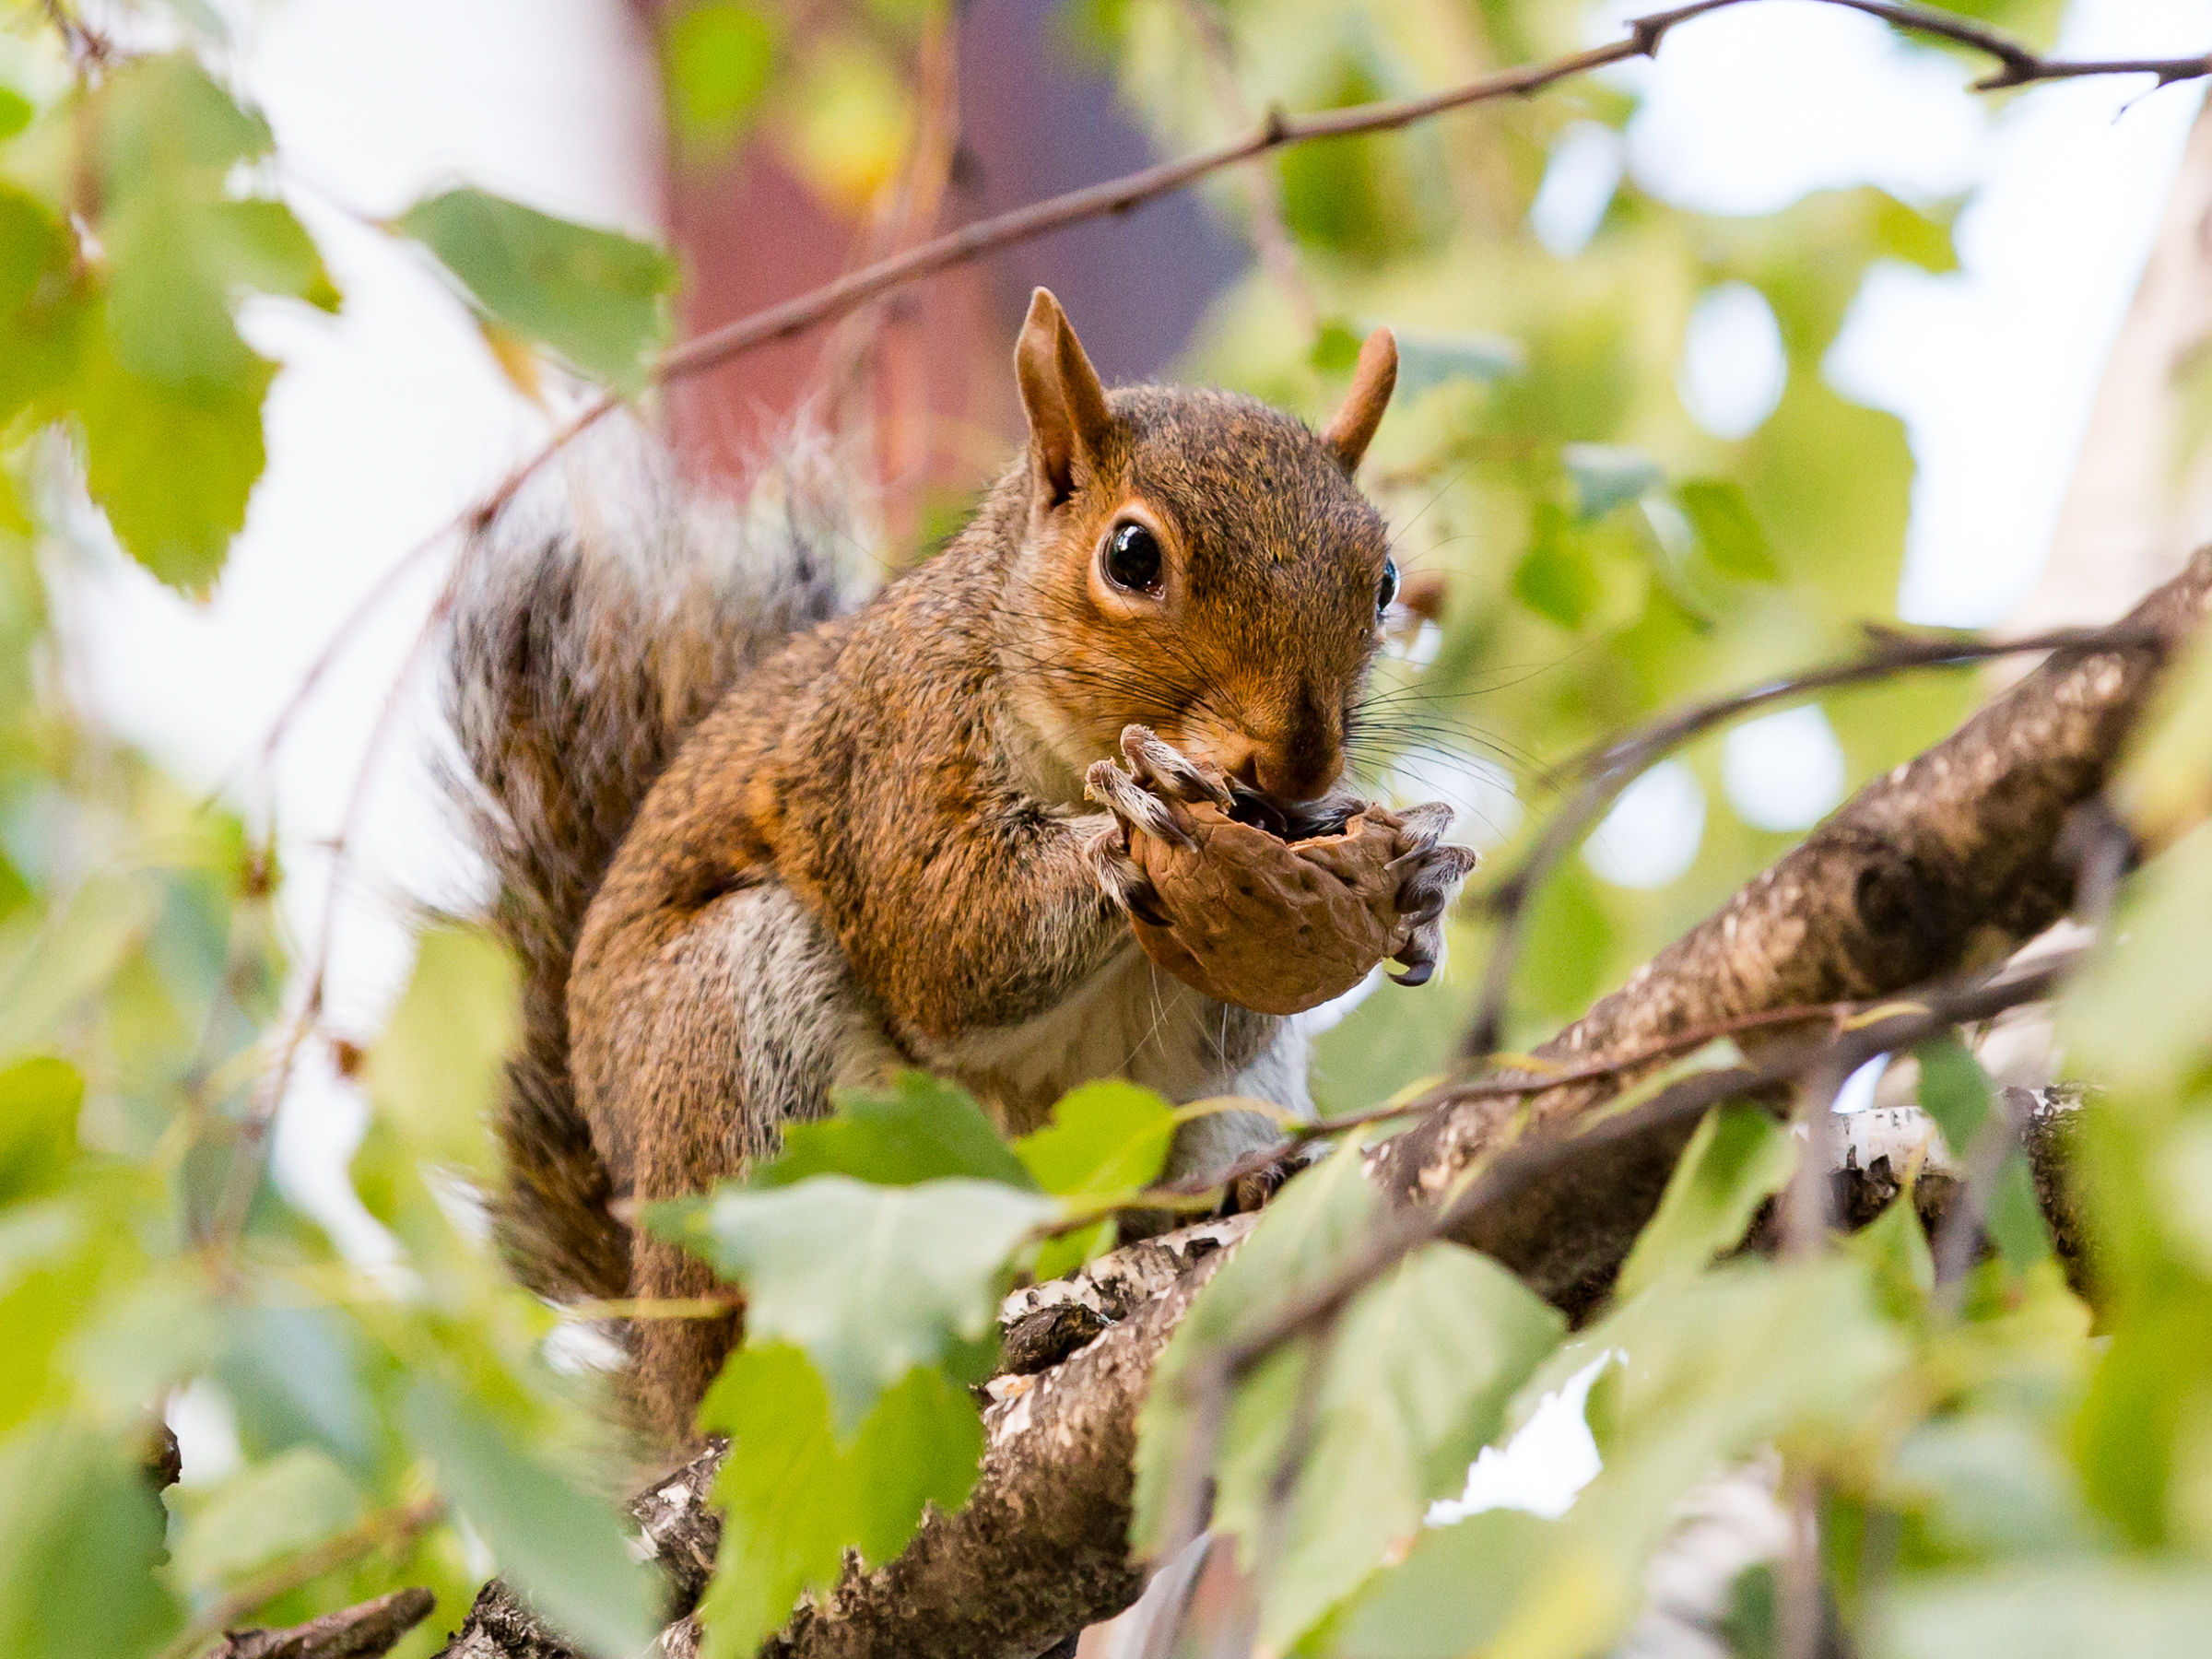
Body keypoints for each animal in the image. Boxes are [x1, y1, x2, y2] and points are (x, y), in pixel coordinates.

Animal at [444, 289, 1478, 1443]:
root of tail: (669, 1392)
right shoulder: (892, 743)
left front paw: (1420, 873)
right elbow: (945, 936)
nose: (1299, 763)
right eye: (1130, 557)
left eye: (1384, 580)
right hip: (727, 1040)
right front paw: (1134, 815)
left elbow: (1246, 991)